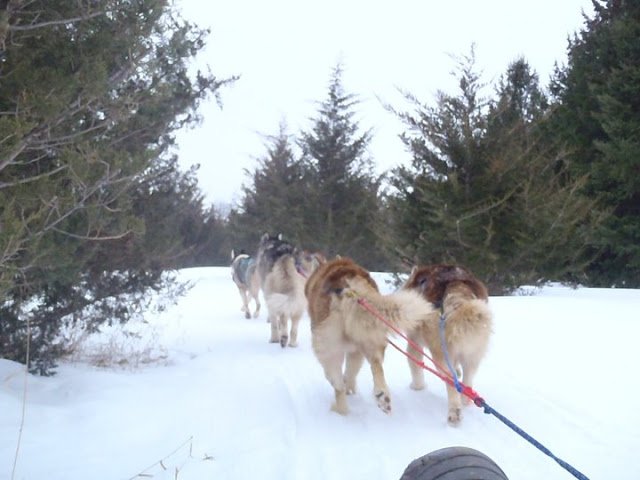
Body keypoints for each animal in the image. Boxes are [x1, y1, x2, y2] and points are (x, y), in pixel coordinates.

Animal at [306, 256, 436, 414]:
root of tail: (348, 284)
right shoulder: (356, 351)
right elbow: (351, 372)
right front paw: (351, 388)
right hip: (372, 337)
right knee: (376, 364)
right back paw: (382, 396)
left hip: (330, 350)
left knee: (337, 385)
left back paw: (340, 410)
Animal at [402, 264, 492, 426]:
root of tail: (455, 282)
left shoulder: (414, 341)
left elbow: (415, 364)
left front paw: (417, 387)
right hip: (473, 354)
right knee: (467, 381)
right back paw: (465, 400)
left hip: (440, 355)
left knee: (452, 383)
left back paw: (454, 413)